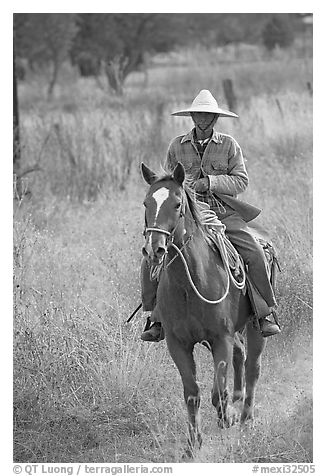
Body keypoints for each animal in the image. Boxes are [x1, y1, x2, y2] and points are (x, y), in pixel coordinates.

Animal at [141, 164, 266, 458]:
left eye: (177, 204)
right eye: (146, 203)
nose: (154, 249)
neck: (190, 283)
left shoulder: (220, 338)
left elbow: (217, 393)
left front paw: (227, 418)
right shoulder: (178, 344)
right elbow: (192, 394)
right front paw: (192, 444)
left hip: (256, 326)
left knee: (252, 367)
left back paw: (246, 420)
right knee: (241, 354)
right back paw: (238, 400)